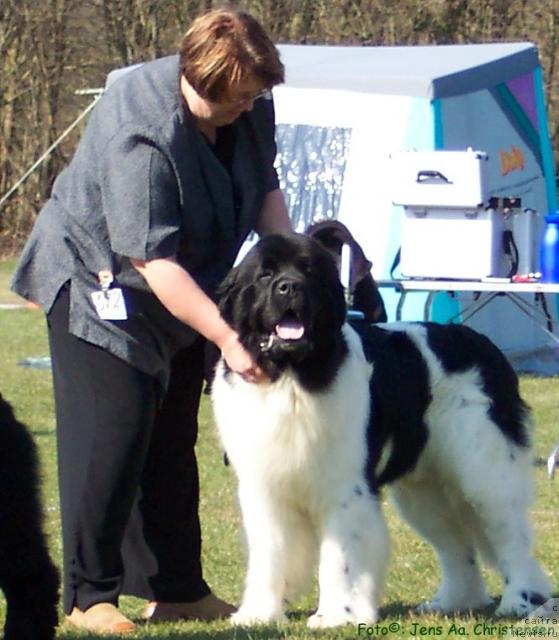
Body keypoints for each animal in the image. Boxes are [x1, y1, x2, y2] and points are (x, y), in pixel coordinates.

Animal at [211, 232, 552, 628]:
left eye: (308, 271)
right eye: (265, 274)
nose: (289, 287)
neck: (292, 376)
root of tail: (485, 346)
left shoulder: (345, 488)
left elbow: (339, 557)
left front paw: (336, 615)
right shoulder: (264, 487)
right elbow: (269, 553)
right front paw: (258, 614)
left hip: (485, 472)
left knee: (510, 538)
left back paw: (519, 602)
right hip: (424, 491)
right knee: (457, 547)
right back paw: (452, 602)